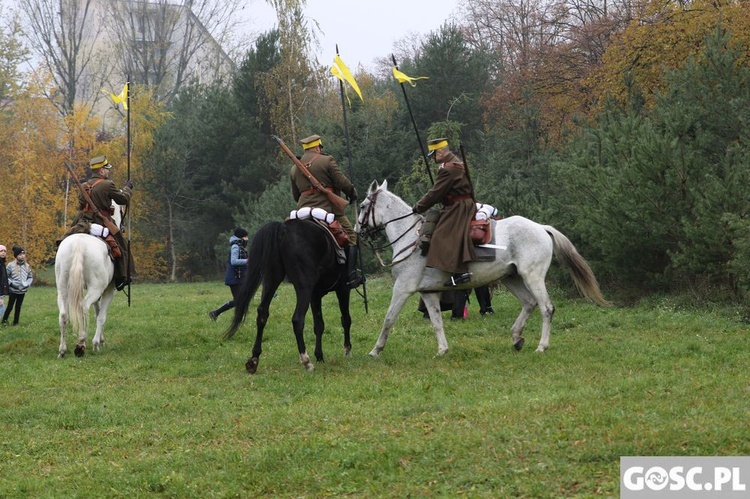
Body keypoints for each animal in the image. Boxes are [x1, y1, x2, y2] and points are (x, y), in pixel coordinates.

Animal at [54, 203, 122, 360]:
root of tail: (79, 243)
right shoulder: (108, 290)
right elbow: (101, 316)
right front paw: (96, 343)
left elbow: (97, 312)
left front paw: (101, 340)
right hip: (95, 289)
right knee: (83, 307)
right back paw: (80, 344)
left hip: (63, 287)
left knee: (64, 314)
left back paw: (62, 350)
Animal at [223, 221, 352, 374]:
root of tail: (283, 228)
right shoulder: (343, 289)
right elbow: (345, 320)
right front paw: (347, 350)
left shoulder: (315, 295)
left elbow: (319, 325)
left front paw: (320, 355)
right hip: (304, 287)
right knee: (298, 319)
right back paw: (306, 361)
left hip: (272, 279)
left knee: (262, 313)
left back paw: (254, 359)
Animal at [358, 182, 612, 358]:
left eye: (361, 206)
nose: (358, 232)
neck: (411, 237)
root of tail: (541, 227)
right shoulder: (428, 293)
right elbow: (437, 322)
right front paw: (442, 350)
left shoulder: (402, 288)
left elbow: (389, 319)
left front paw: (375, 350)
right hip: (512, 277)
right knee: (529, 303)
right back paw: (516, 338)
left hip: (533, 277)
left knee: (546, 308)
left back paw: (541, 346)